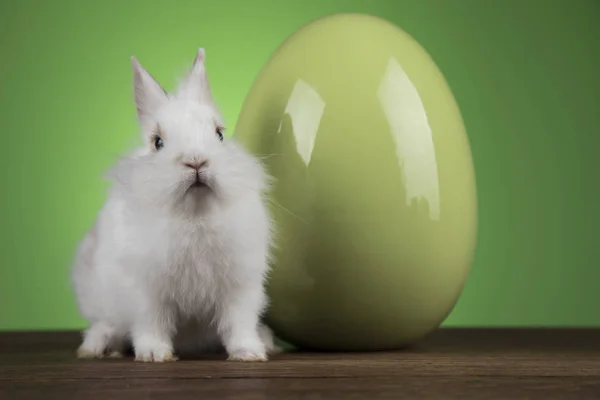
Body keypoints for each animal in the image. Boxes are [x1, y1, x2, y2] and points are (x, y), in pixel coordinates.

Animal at [71, 47, 278, 362]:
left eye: (219, 134)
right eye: (157, 142)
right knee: (104, 325)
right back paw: (98, 348)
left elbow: (238, 322)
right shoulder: (146, 289)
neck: (195, 215)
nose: (196, 160)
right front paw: (155, 354)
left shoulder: (240, 286)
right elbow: (151, 323)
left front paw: (249, 353)